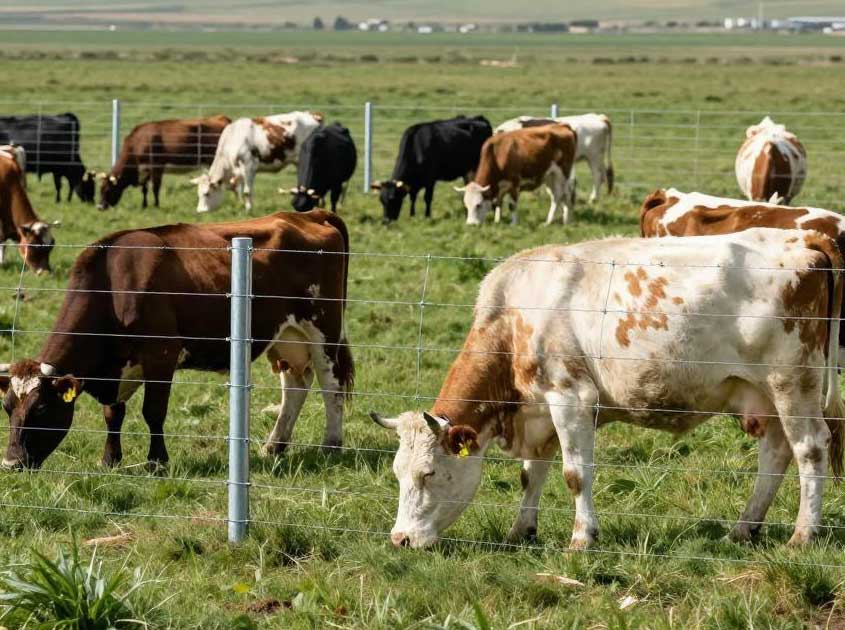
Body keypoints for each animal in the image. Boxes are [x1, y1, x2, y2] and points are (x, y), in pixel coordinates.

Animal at [0, 210, 353, 469]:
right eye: (7, 407)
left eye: (42, 408)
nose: (11, 464)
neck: (115, 284)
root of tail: (306, 214)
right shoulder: (118, 367)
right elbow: (113, 414)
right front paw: (110, 460)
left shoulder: (161, 354)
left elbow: (153, 412)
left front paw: (157, 461)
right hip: (285, 337)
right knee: (295, 384)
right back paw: (275, 444)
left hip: (323, 330)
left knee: (331, 385)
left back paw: (331, 444)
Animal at [98, 115, 231, 210]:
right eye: (100, 189)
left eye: (107, 190)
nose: (100, 207)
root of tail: (221, 118)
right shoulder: (145, 170)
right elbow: (144, 189)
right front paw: (144, 205)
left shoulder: (157, 167)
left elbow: (155, 188)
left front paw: (156, 205)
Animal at [193, 111, 323, 213]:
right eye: (198, 194)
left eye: (206, 193)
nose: (200, 211)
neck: (234, 138)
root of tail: (313, 115)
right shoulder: (239, 171)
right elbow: (238, 189)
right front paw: (240, 204)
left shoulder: (248, 167)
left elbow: (246, 191)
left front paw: (249, 210)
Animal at [371, 228, 844, 550]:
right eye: (396, 472)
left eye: (428, 473)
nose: (400, 539)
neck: (516, 313)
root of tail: (802, 237)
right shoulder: (540, 409)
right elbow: (531, 474)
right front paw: (521, 531)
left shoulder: (571, 397)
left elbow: (575, 474)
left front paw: (582, 538)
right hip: (765, 394)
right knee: (776, 455)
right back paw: (744, 529)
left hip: (792, 381)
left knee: (810, 448)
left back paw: (804, 534)